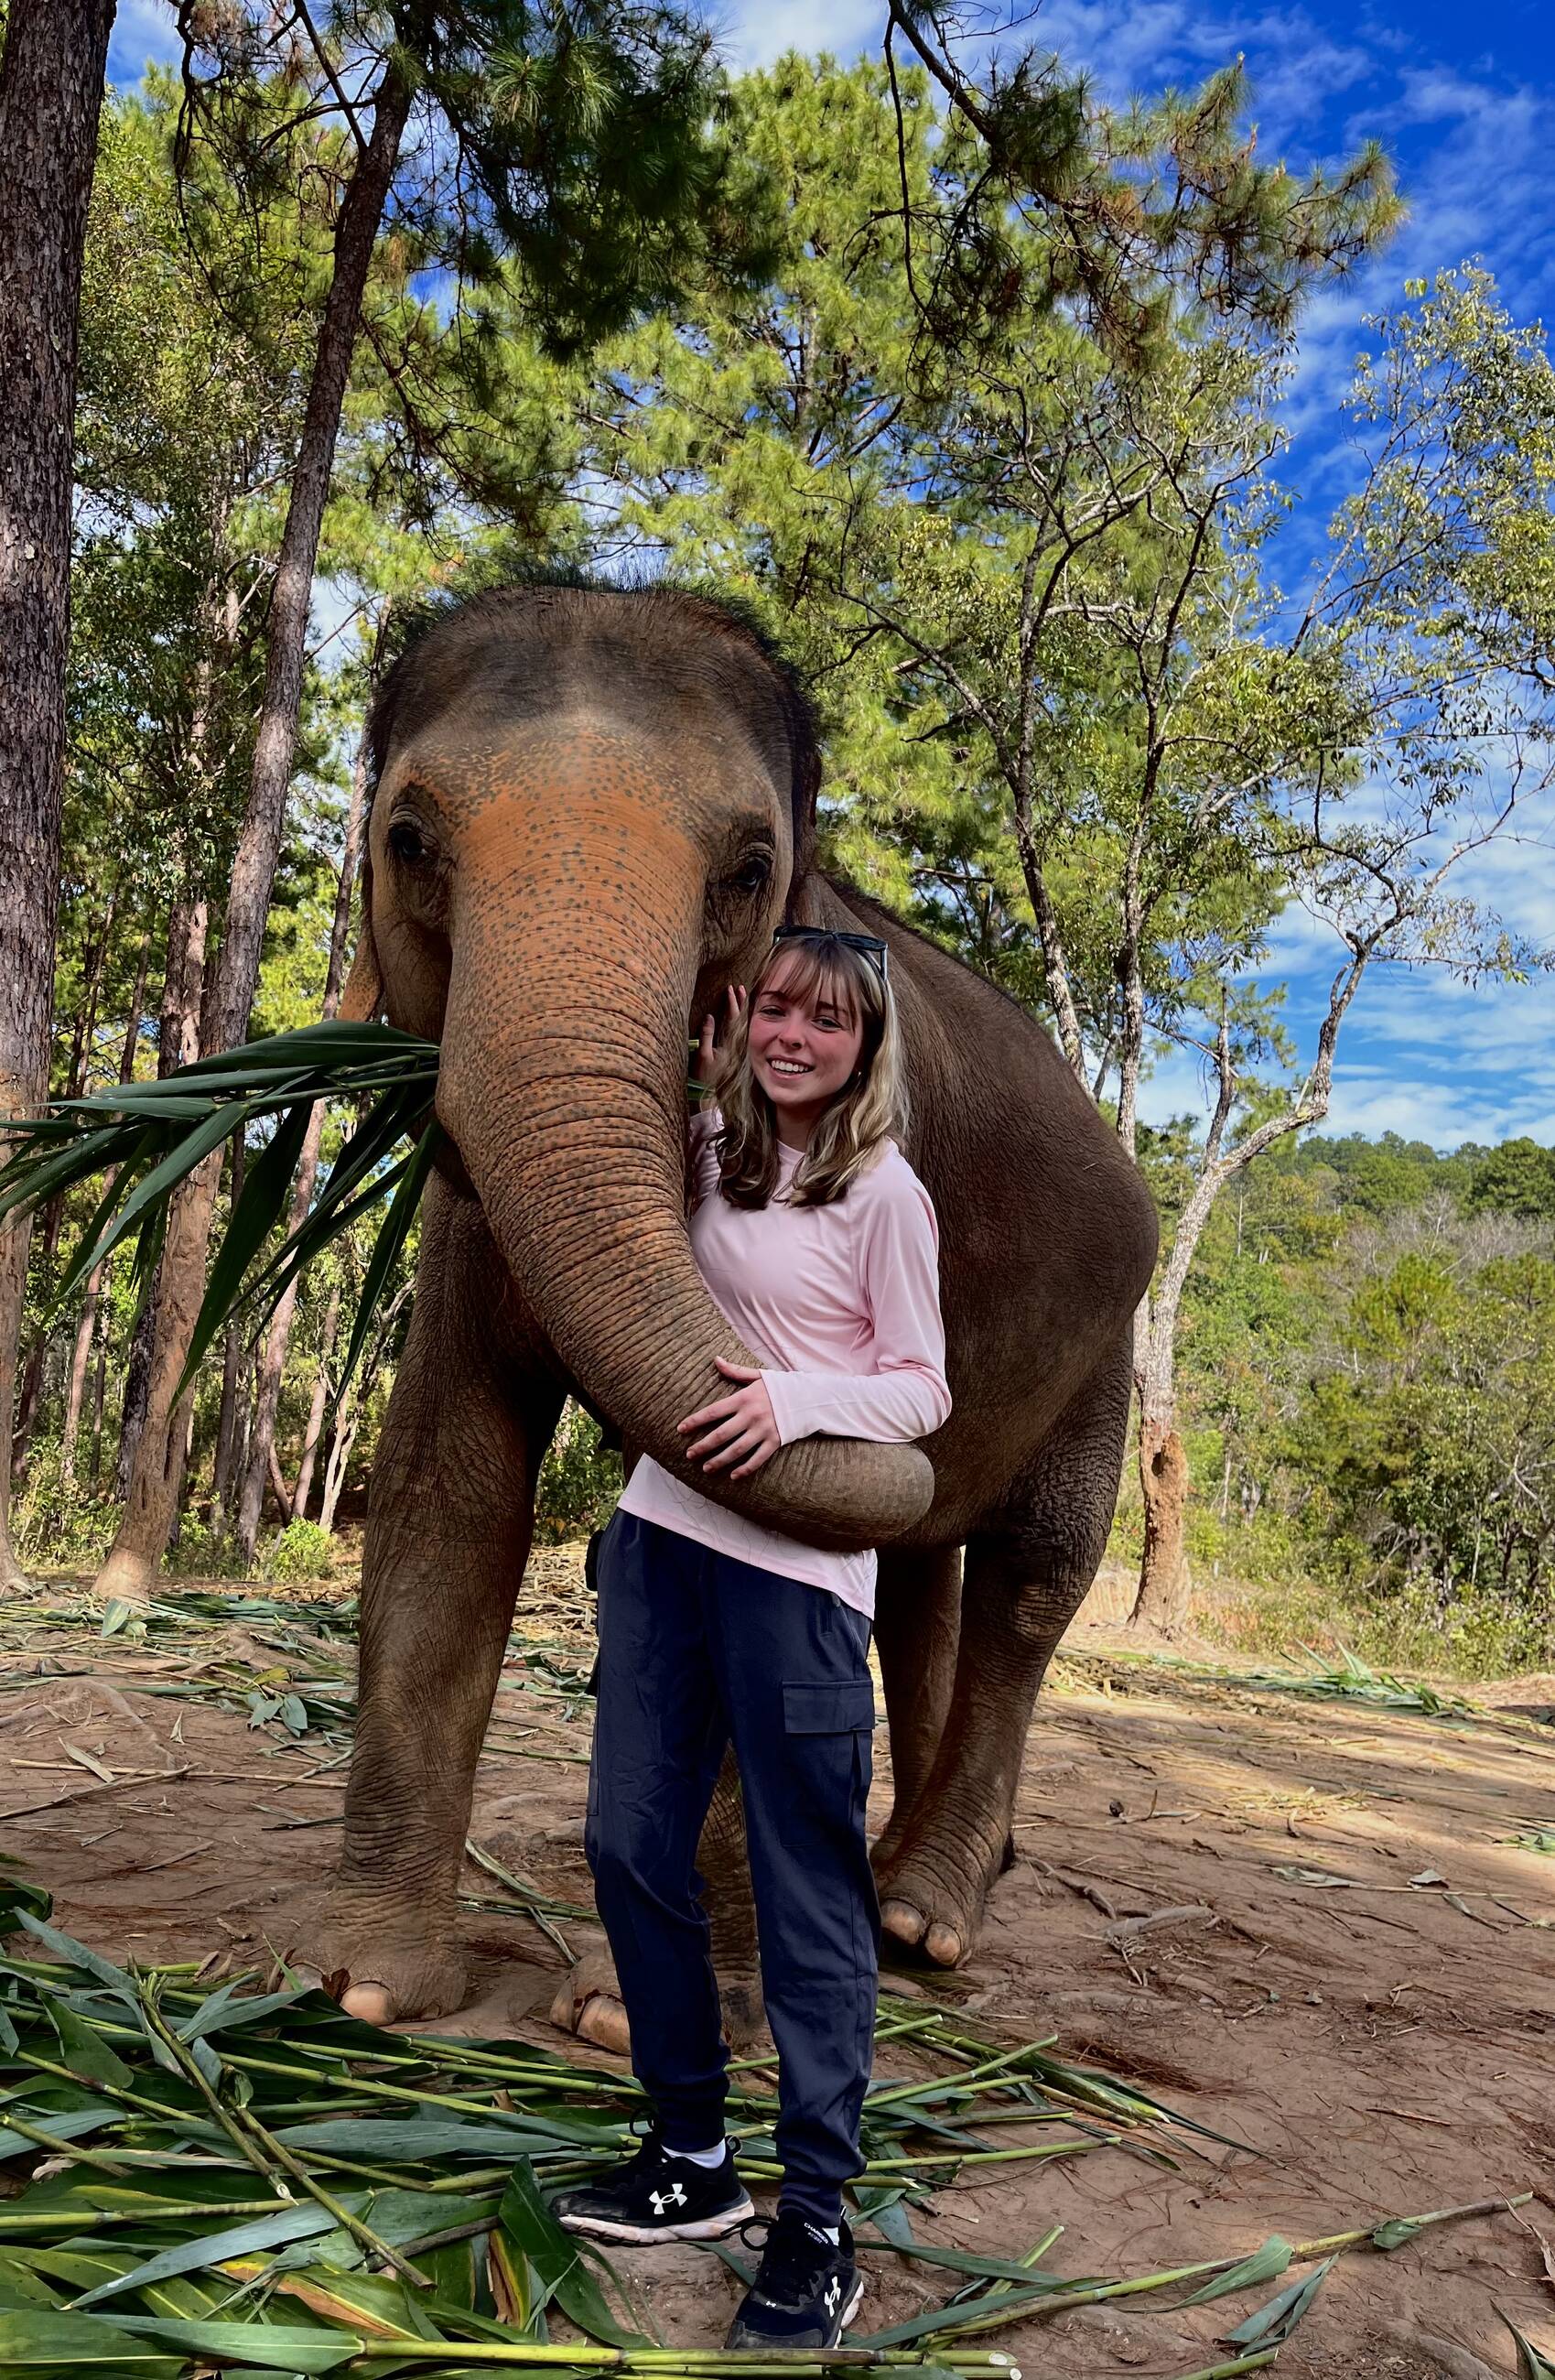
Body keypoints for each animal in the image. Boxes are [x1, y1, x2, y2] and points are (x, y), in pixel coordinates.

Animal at [307, 578, 1158, 2031]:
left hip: (1108, 1347)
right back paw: (889, 1885)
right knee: (921, 1574)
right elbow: (447, 1476)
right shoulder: (468, 1211)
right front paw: (362, 1988)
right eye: (407, 839)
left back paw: (927, 1917)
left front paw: (624, 2014)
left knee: (1031, 1580)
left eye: (751, 871)